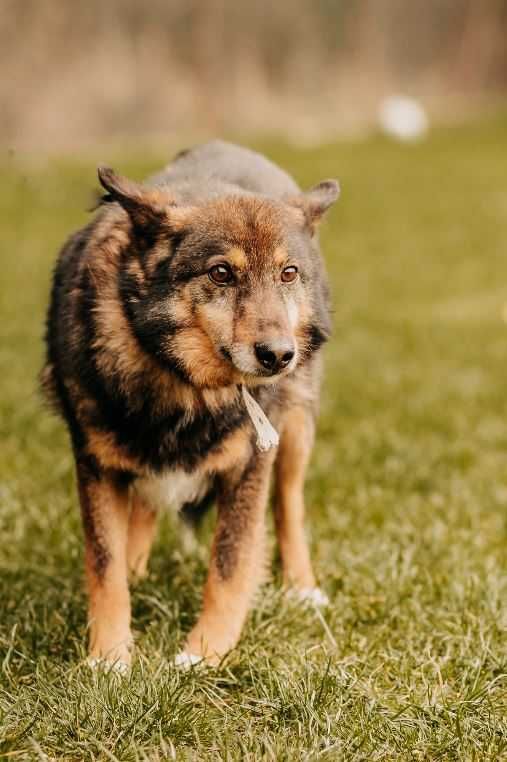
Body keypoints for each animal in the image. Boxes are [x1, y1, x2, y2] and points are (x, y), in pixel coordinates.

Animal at [41, 140, 340, 668]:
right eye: (221, 273)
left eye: (288, 273)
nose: (279, 355)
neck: (182, 379)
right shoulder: (97, 463)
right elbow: (104, 563)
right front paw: (109, 658)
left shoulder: (249, 466)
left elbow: (230, 562)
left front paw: (203, 655)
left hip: (296, 430)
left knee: (289, 505)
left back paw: (302, 589)